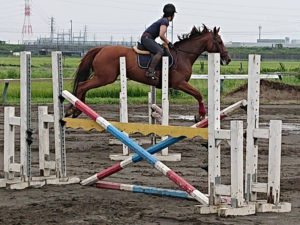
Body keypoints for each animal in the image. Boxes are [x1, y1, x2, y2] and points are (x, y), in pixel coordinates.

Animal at [65, 25, 230, 121]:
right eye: (220, 42)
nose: (227, 59)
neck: (183, 55)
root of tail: (101, 48)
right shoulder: (179, 84)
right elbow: (198, 94)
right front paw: (200, 115)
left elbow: (198, 94)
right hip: (105, 77)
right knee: (82, 85)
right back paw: (74, 109)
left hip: (103, 77)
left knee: (83, 86)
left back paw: (76, 109)